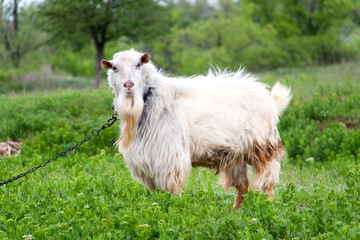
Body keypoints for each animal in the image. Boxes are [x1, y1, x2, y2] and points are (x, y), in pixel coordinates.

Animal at [100, 48, 292, 208]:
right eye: (115, 68)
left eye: (138, 64)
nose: (128, 85)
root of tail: (271, 101)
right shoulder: (149, 163)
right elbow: (160, 194)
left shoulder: (170, 160)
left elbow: (172, 191)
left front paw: (175, 210)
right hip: (236, 156)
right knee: (242, 186)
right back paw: (236, 212)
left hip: (263, 148)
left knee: (267, 182)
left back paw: (266, 208)